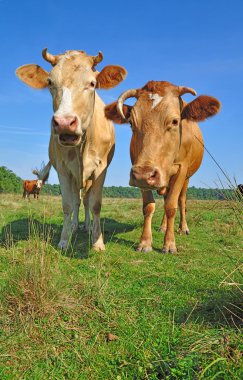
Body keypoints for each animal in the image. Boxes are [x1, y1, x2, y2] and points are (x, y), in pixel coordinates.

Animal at [16, 49, 127, 252]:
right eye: (50, 82)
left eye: (92, 83)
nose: (64, 123)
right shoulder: (64, 169)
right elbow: (68, 204)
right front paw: (64, 240)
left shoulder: (101, 168)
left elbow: (95, 204)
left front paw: (97, 242)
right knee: (77, 201)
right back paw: (76, 226)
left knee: (86, 200)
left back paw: (87, 226)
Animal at [104, 80, 220, 252]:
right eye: (131, 122)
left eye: (175, 121)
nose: (145, 173)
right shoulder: (140, 172)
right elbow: (149, 206)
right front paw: (145, 242)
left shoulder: (181, 169)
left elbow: (172, 205)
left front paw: (170, 244)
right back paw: (163, 227)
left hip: (186, 178)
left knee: (181, 200)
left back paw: (183, 228)